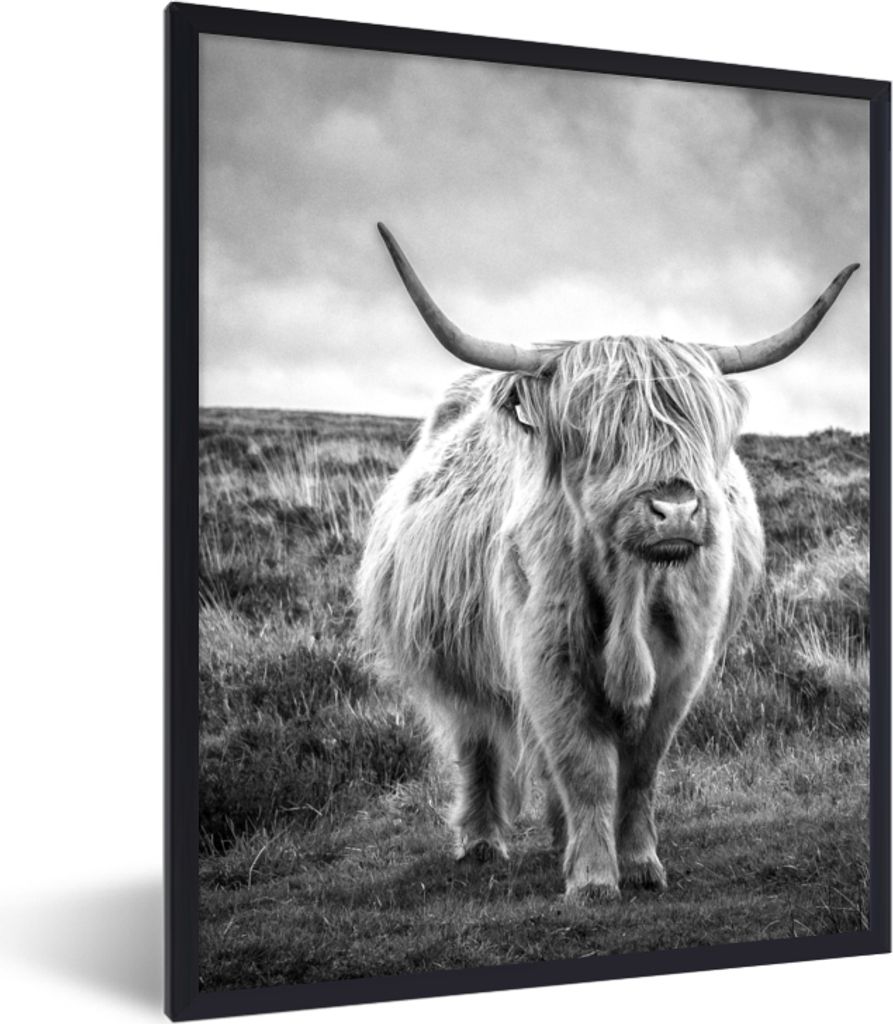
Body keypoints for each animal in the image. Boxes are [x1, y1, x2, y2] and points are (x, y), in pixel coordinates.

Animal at [357, 222, 858, 902]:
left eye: (698, 427)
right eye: (601, 434)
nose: (676, 509)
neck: (631, 588)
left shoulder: (683, 665)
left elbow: (640, 768)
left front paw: (640, 863)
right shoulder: (547, 658)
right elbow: (585, 764)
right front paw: (594, 879)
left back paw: (558, 839)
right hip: (454, 661)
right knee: (477, 742)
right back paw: (483, 843)